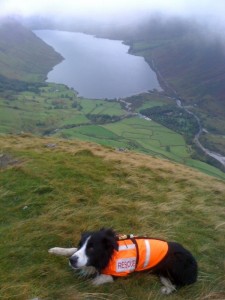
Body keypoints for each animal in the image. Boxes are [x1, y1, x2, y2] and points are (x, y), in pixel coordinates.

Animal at [48, 229, 197, 294]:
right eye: (80, 245)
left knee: (175, 285)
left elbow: (92, 282)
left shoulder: (115, 274)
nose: (72, 261)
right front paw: (56, 250)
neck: (109, 254)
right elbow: (71, 250)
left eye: (91, 248)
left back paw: (166, 289)